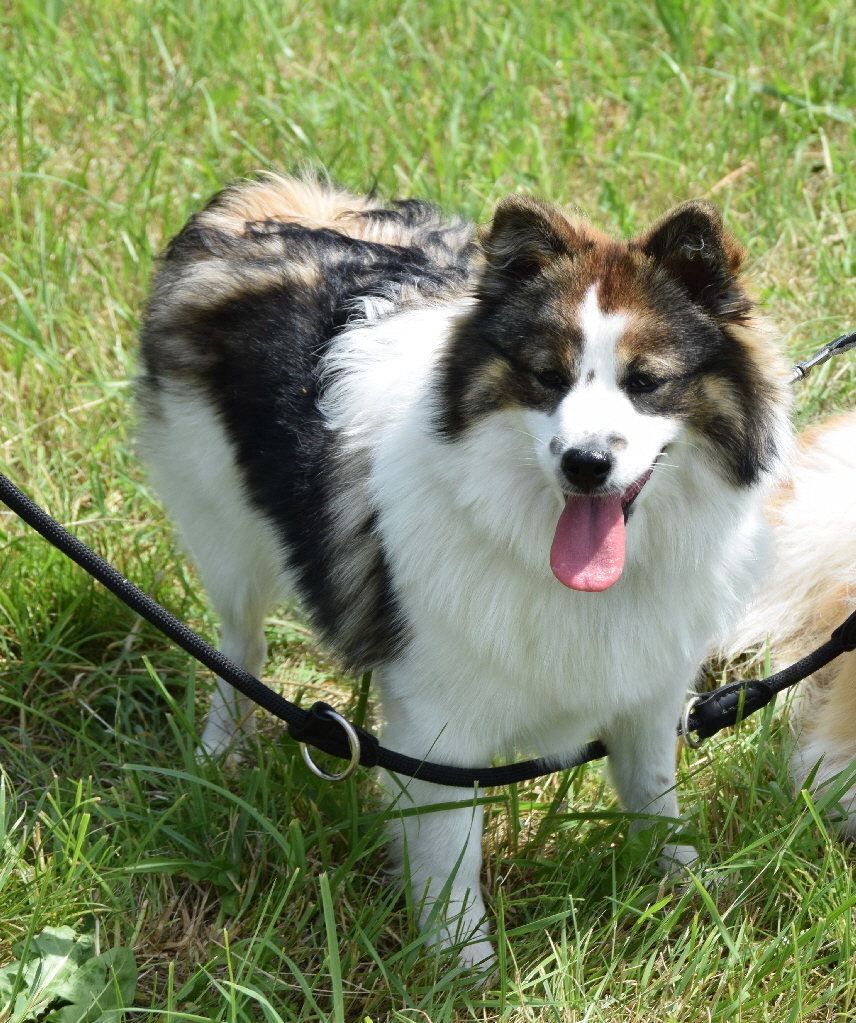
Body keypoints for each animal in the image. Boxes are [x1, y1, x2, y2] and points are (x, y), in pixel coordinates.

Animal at [139, 175, 789, 965]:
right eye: (546, 377)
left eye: (647, 382)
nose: (584, 464)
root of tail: (259, 201)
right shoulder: (439, 727)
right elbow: (452, 850)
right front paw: (463, 963)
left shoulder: (649, 688)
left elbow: (654, 795)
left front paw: (687, 888)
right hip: (223, 524)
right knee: (242, 642)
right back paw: (220, 750)